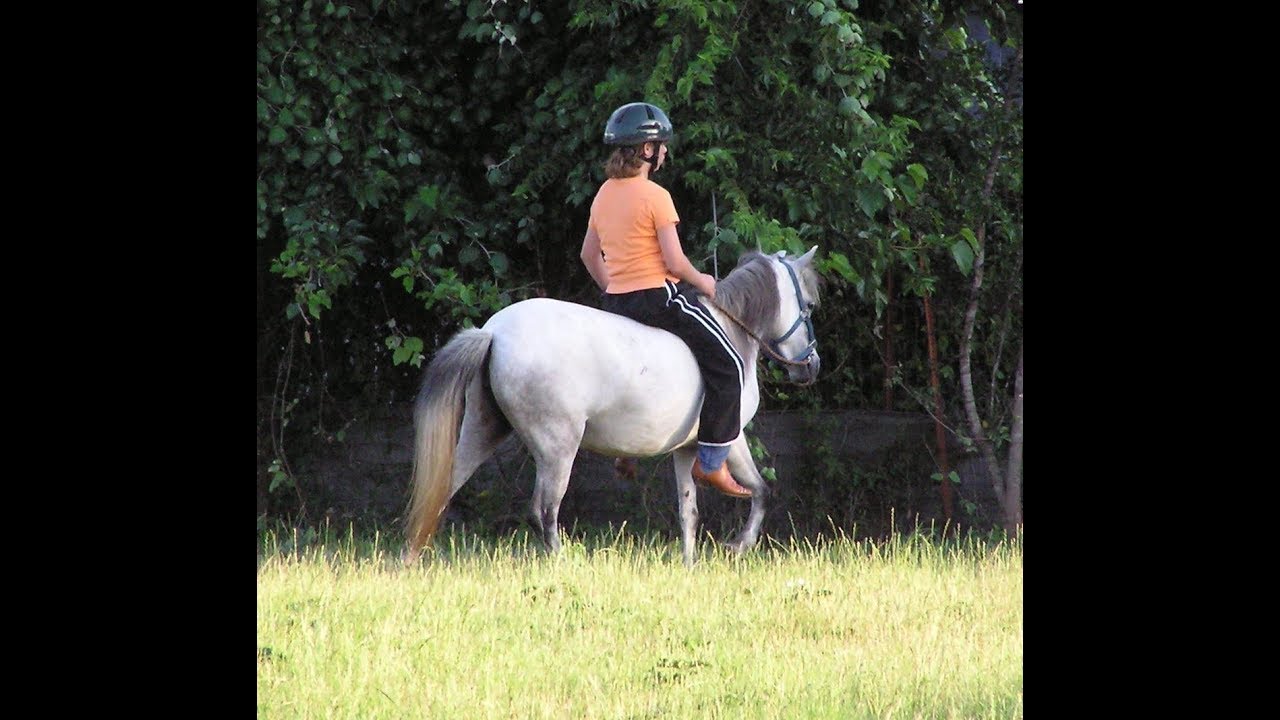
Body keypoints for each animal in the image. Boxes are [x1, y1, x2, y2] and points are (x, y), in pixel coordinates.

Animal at [403, 247, 822, 565]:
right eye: (809, 307)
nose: (812, 367)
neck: (732, 328)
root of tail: (494, 332)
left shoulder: (687, 448)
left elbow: (689, 511)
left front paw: (690, 566)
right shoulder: (728, 438)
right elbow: (761, 491)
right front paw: (738, 545)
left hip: (483, 429)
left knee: (442, 489)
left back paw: (414, 559)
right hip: (558, 447)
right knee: (544, 510)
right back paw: (563, 565)